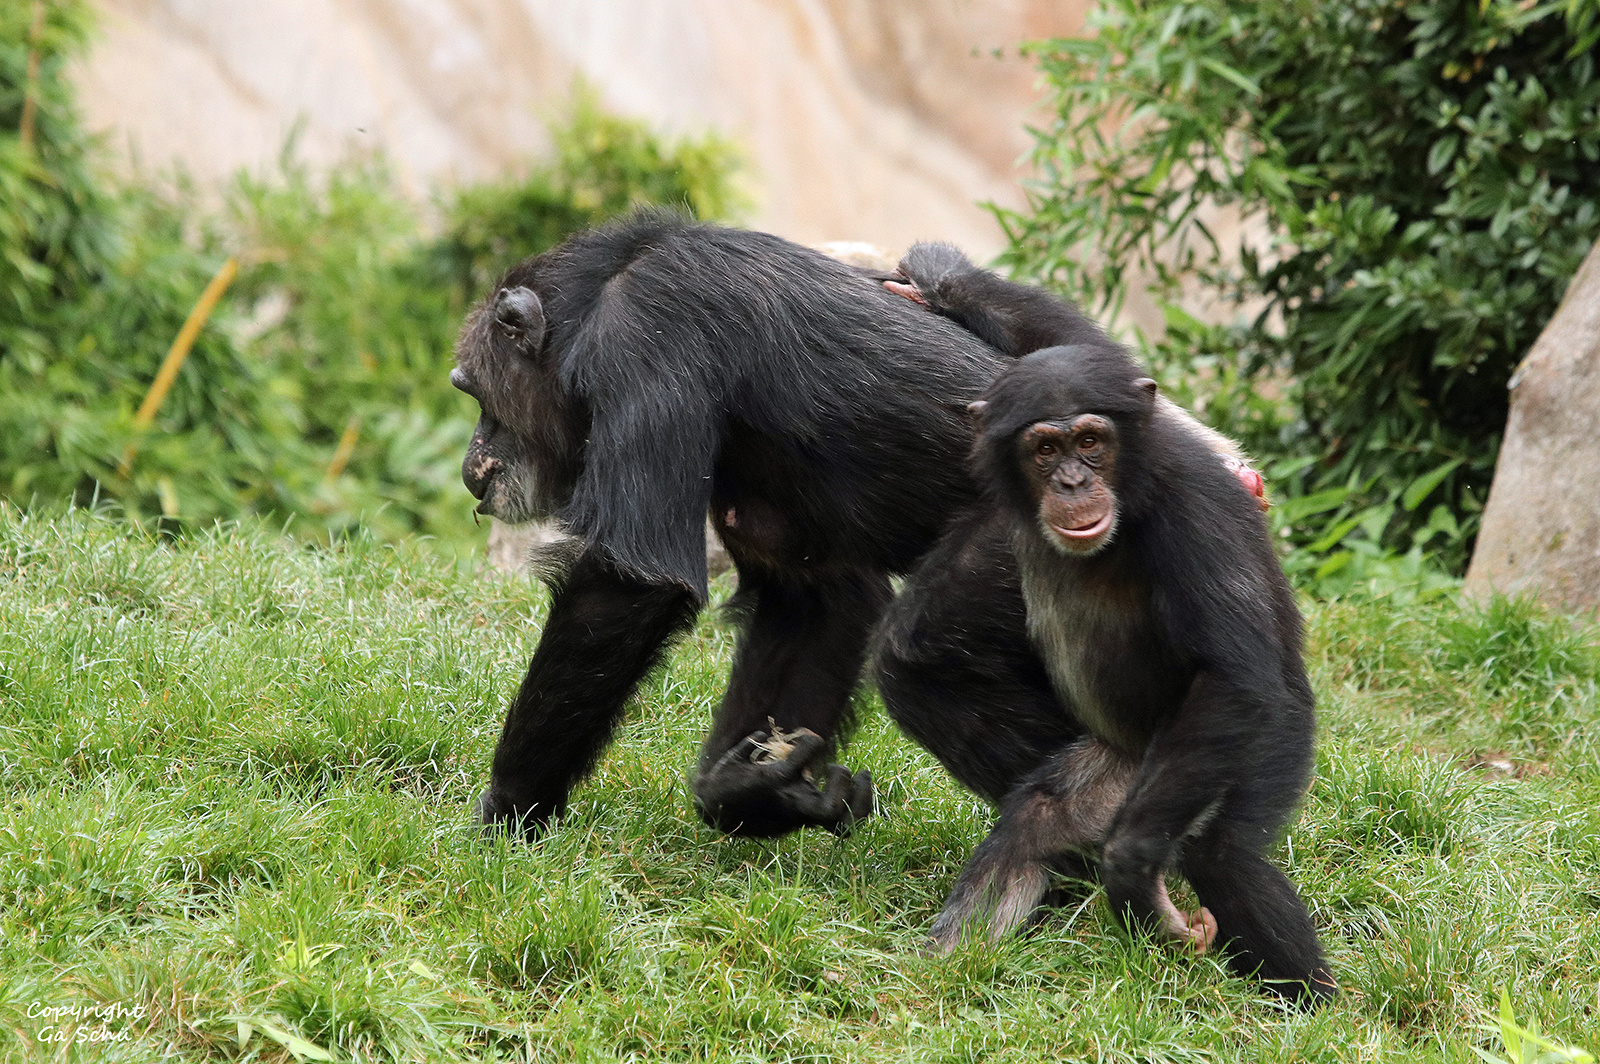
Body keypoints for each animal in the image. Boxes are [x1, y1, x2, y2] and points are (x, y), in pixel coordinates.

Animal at [870, 249, 1331, 1004]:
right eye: (1045, 448)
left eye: (1090, 441)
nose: (1072, 482)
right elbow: (1076, 345)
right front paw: (943, 284)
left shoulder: (1194, 507)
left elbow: (1231, 673)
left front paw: (1135, 868)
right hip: (1121, 772)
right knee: (1038, 818)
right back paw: (946, 966)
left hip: (1251, 748)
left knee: (1223, 852)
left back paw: (1313, 1004)